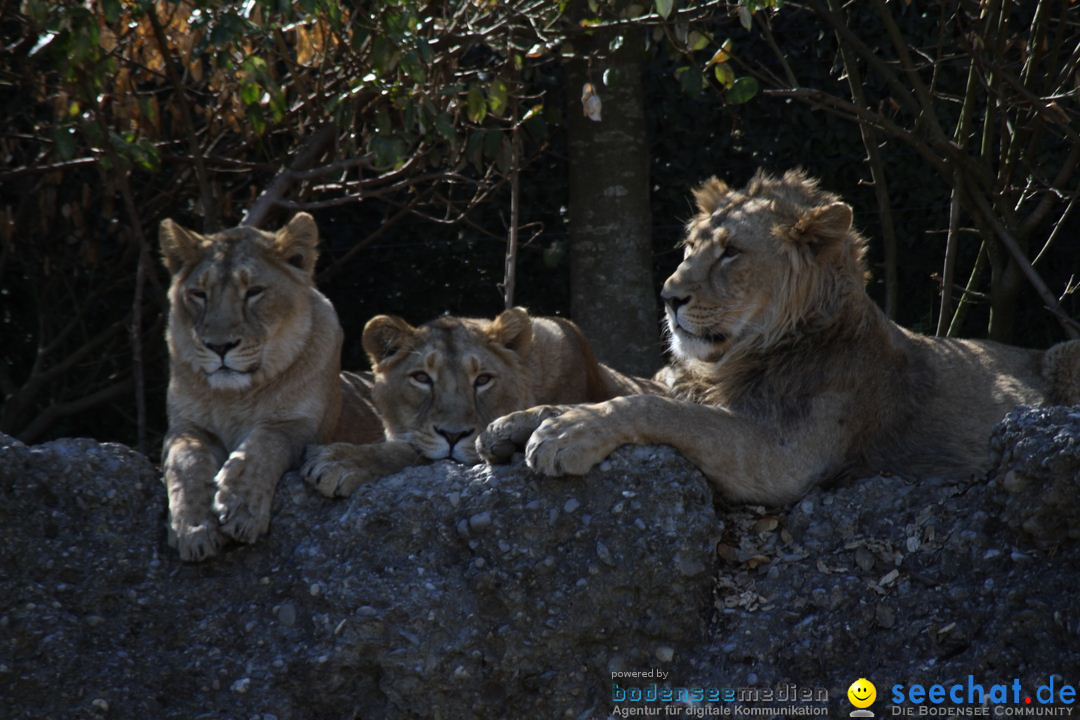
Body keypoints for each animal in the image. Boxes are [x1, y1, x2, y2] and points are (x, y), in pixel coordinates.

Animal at [157, 213, 382, 561]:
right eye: (199, 293)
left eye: (254, 291)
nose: (219, 346)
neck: (236, 395)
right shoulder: (185, 427)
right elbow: (186, 462)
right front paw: (192, 528)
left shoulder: (299, 426)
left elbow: (262, 445)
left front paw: (240, 508)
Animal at [300, 306, 660, 498]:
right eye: (422, 378)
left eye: (483, 380)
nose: (453, 435)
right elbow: (407, 447)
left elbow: (412, 452)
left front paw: (338, 461)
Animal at [479, 171, 1080, 505]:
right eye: (690, 246)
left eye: (730, 252)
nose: (669, 296)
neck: (729, 361)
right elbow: (625, 394)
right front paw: (515, 423)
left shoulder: (784, 458)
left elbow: (657, 408)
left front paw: (568, 433)